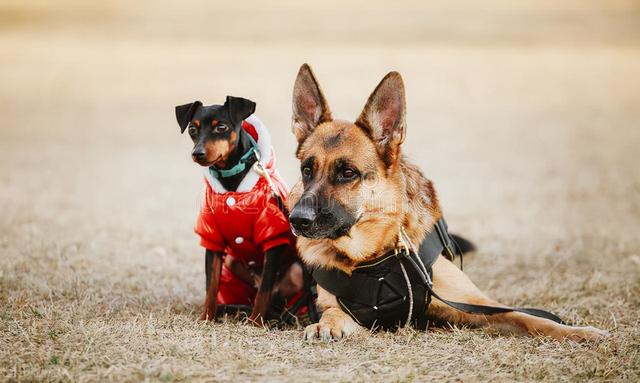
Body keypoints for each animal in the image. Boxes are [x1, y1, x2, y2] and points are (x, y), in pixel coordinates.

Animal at [175, 96, 304, 324]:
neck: (231, 179)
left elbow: (264, 291)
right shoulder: (213, 240)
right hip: (233, 261)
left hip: (297, 272)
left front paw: (256, 323)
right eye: (192, 129)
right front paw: (206, 318)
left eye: (221, 127)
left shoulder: (273, 238)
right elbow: (211, 286)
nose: (197, 153)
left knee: (272, 293)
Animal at [288, 64, 608, 344]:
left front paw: (581, 332)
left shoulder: (475, 304)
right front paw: (325, 325)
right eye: (307, 169)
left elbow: (529, 317)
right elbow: (332, 312)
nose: (297, 219)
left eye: (348, 173)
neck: (376, 258)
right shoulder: (345, 308)